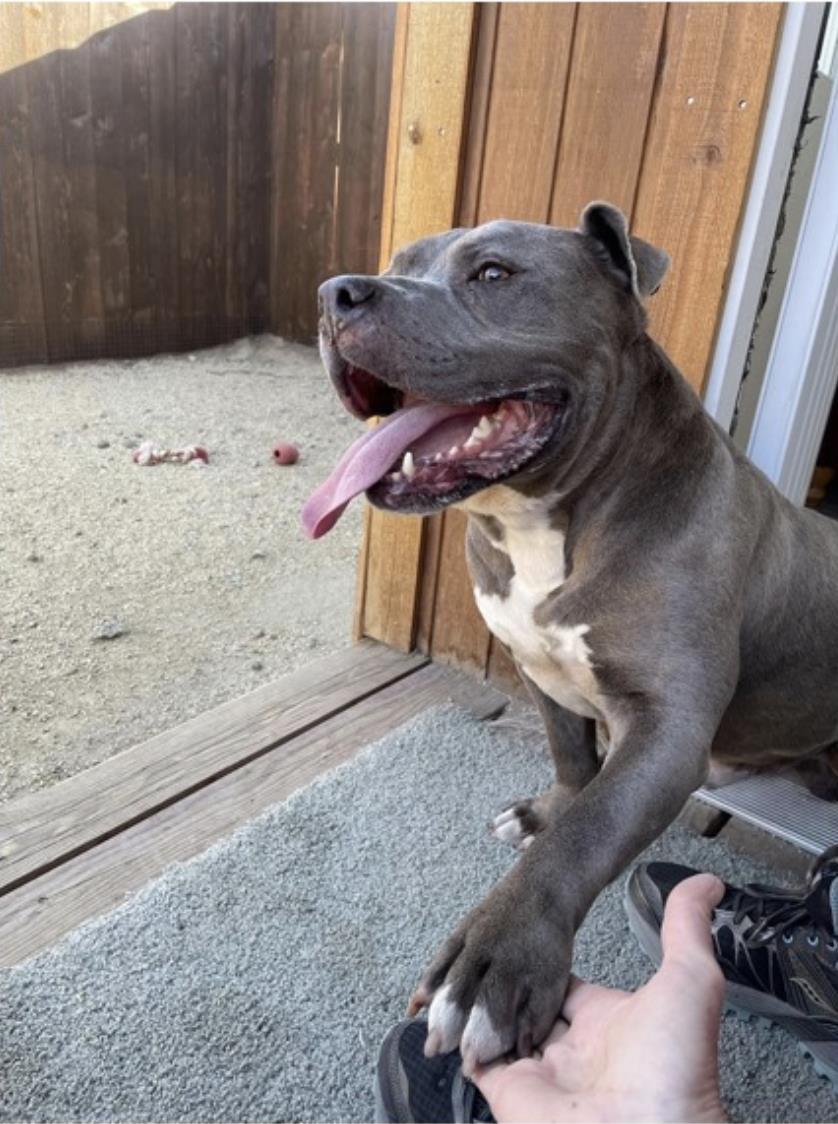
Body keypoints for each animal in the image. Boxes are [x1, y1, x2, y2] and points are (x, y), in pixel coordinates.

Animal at [303, 202, 835, 1070]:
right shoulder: (535, 663)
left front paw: (502, 955)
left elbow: (595, 828)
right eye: (400, 262)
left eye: (493, 273)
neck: (545, 524)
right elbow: (571, 758)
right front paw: (545, 811)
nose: (335, 292)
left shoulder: (668, 729)